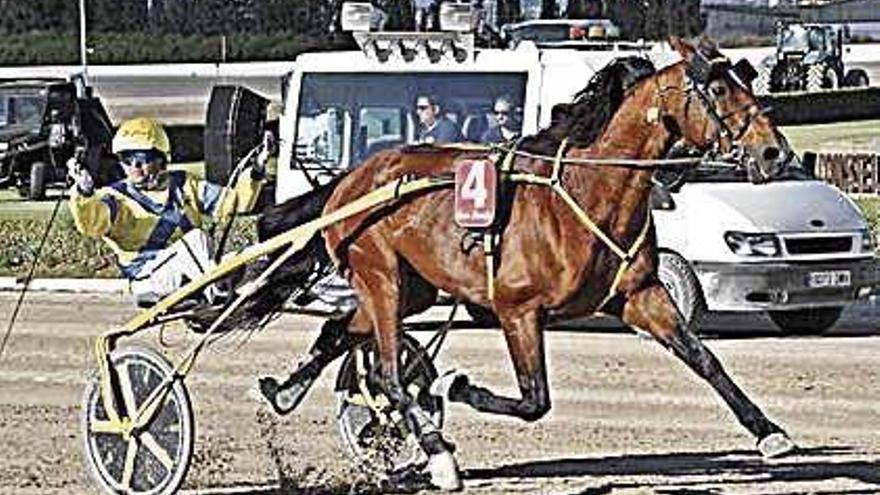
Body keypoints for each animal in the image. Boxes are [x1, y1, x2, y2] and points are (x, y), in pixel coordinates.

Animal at [258, 37, 796, 488]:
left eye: (745, 82)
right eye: (719, 88)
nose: (775, 152)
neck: (588, 193)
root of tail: (351, 179)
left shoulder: (639, 294)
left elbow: (704, 358)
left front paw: (770, 432)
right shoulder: (518, 310)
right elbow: (535, 400)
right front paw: (455, 385)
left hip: (412, 288)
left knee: (340, 332)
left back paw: (283, 392)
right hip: (381, 276)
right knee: (389, 375)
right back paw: (439, 456)